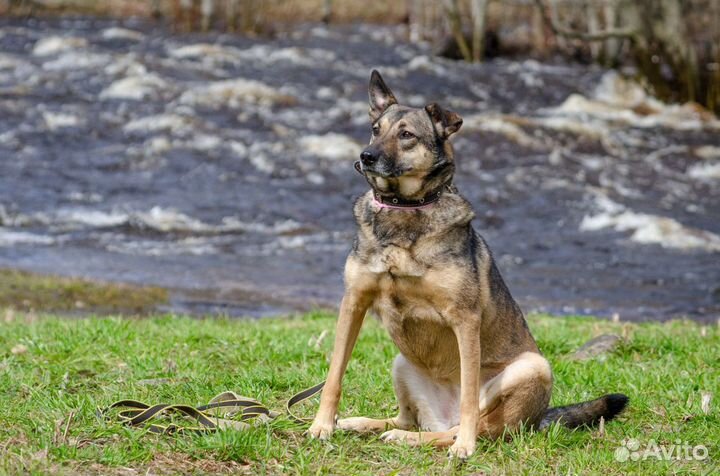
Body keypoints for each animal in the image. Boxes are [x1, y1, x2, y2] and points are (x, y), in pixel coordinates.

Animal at [306, 69, 628, 458]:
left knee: (465, 425)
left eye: (406, 135)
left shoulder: (464, 319)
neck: (404, 208)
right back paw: (365, 424)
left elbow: (470, 399)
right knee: (408, 419)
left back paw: (432, 439)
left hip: (532, 367)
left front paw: (465, 447)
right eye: (375, 128)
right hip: (401, 362)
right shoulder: (353, 302)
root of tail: (537, 420)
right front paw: (322, 425)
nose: (365, 156)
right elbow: (335, 373)